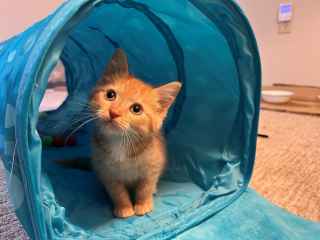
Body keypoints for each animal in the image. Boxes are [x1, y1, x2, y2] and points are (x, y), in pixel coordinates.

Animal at [90, 49, 181, 218]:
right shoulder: (105, 171)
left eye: (136, 109)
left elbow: (145, 188)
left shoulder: (153, 167)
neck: (119, 141)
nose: (113, 112)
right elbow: (117, 191)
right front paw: (124, 208)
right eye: (110, 95)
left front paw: (143, 205)